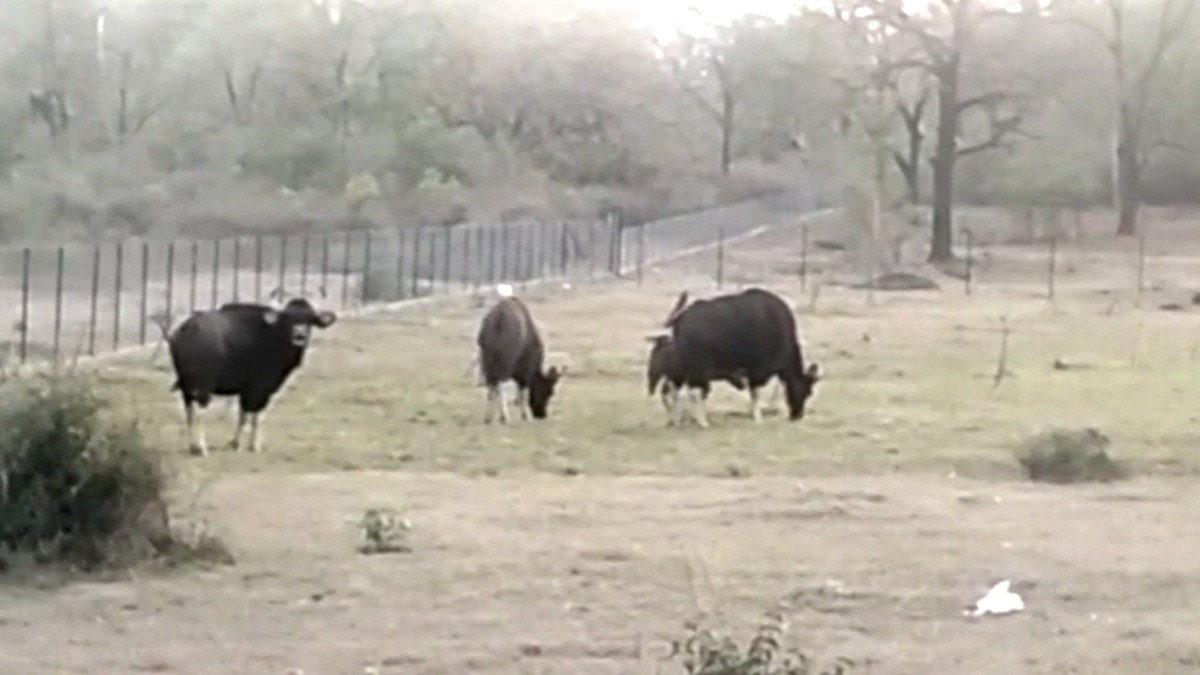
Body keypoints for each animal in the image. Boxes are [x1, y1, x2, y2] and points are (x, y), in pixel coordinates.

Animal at [167, 288, 337, 456]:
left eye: (310, 318)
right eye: (288, 318)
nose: (299, 335)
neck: (274, 334)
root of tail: (185, 330)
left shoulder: (247, 391)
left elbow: (244, 415)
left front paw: (237, 444)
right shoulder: (259, 389)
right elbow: (255, 415)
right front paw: (253, 445)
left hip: (186, 387)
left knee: (189, 412)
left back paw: (192, 446)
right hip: (203, 386)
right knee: (200, 412)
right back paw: (202, 448)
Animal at [476, 295, 564, 423]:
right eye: (549, 392)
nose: (541, 415)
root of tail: (499, 318)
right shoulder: (525, 371)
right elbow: (522, 391)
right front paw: (524, 415)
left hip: (486, 360)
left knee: (491, 386)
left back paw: (488, 417)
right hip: (505, 360)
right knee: (500, 384)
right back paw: (504, 416)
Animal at [653, 287, 819, 427]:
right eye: (806, 391)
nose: (797, 415)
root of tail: (680, 318)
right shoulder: (757, 371)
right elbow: (755, 393)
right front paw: (757, 416)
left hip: (683, 369)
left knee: (675, 390)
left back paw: (675, 420)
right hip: (699, 368)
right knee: (693, 392)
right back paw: (702, 421)